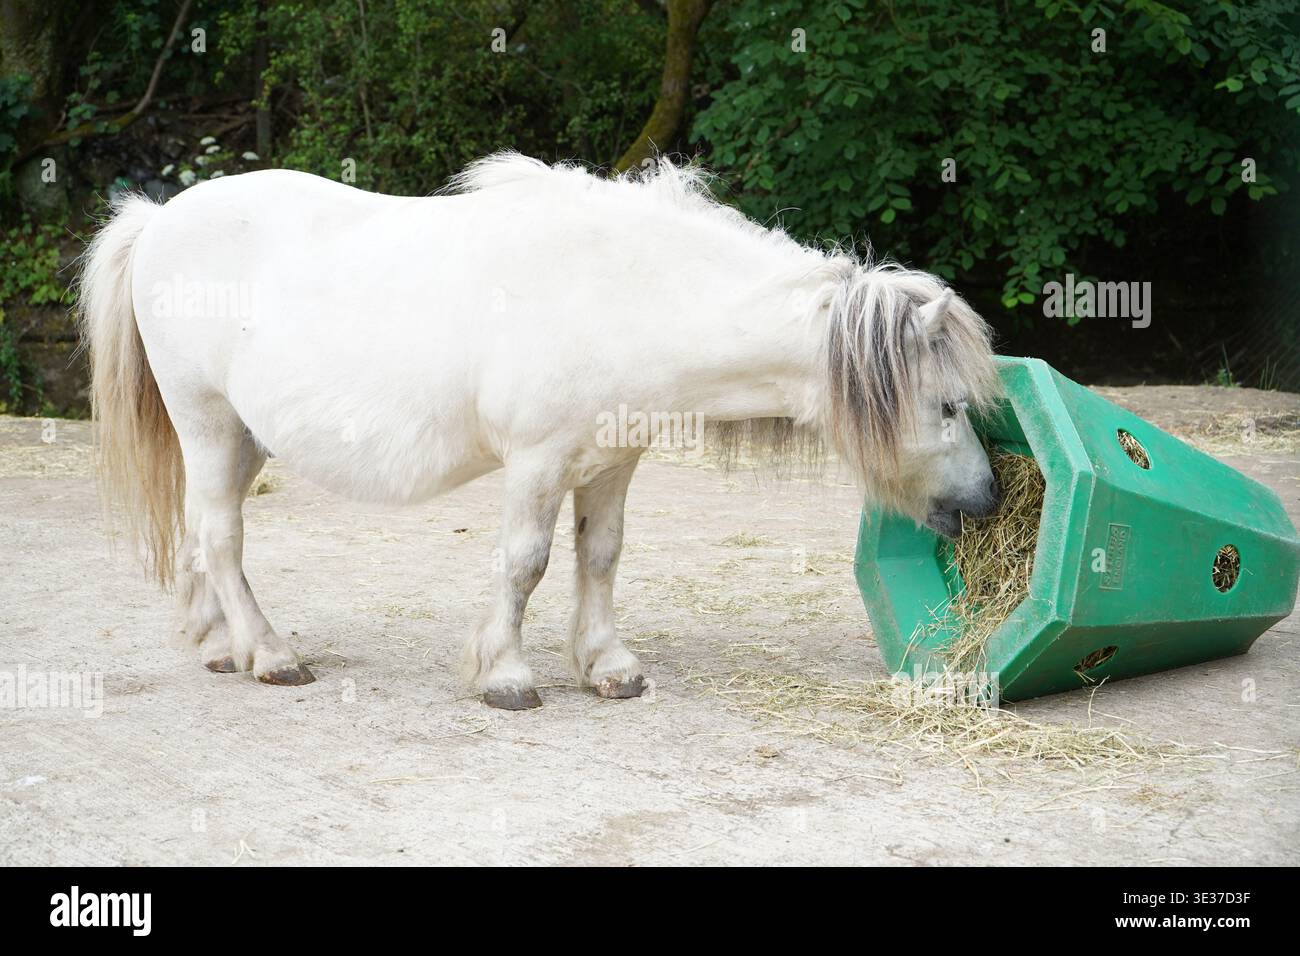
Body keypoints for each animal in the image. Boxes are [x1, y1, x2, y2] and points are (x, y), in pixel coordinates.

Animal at [78, 153, 1002, 710]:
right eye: (948, 405)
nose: (988, 499)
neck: (624, 290)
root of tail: (159, 218)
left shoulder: (612, 465)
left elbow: (601, 558)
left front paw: (608, 667)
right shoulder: (536, 464)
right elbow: (525, 563)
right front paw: (508, 676)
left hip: (242, 437)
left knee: (206, 530)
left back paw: (219, 645)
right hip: (205, 420)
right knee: (222, 536)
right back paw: (269, 655)